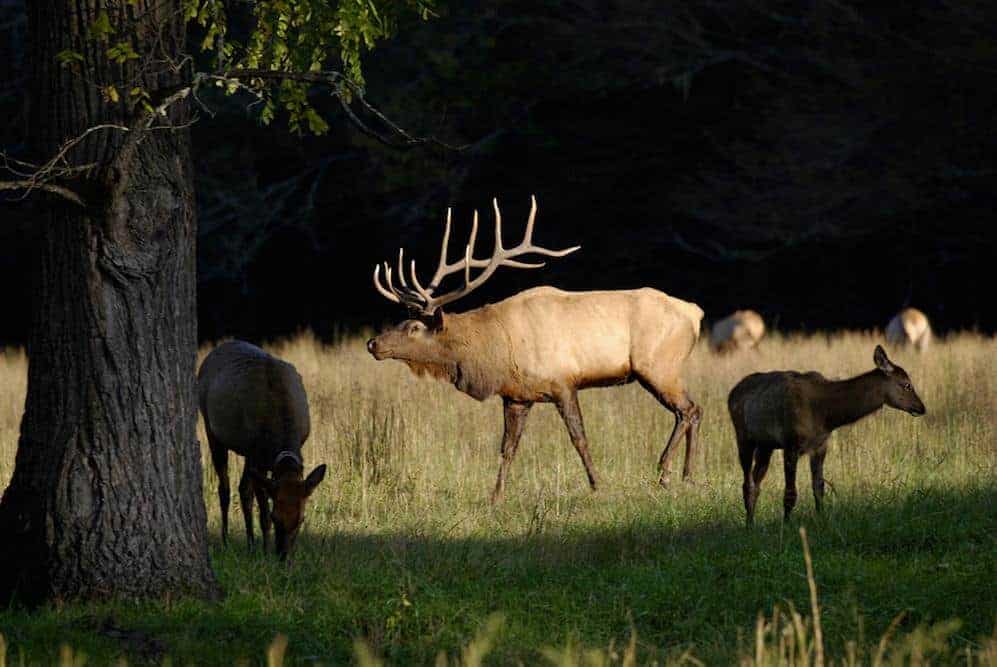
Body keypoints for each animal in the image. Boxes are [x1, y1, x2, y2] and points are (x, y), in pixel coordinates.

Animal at [197, 342, 326, 560]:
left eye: (301, 519)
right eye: (276, 518)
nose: (283, 557)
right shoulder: (256, 455)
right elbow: (262, 512)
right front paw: (265, 552)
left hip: (249, 454)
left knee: (243, 489)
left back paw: (250, 544)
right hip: (212, 429)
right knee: (225, 488)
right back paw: (226, 541)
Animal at [364, 196, 700, 504]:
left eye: (413, 327)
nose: (373, 343)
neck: (496, 351)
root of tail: (695, 313)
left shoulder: (563, 382)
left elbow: (579, 438)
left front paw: (597, 485)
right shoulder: (516, 396)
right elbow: (507, 448)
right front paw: (495, 496)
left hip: (657, 366)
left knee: (688, 409)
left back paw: (665, 473)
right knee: (692, 411)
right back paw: (687, 476)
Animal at [724, 344, 924, 528]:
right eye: (907, 384)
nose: (921, 408)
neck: (826, 415)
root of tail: (731, 393)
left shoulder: (820, 445)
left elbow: (819, 487)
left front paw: (821, 519)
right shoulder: (791, 442)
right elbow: (790, 493)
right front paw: (786, 525)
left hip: (766, 445)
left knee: (756, 480)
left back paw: (751, 521)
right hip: (743, 436)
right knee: (747, 483)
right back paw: (749, 525)